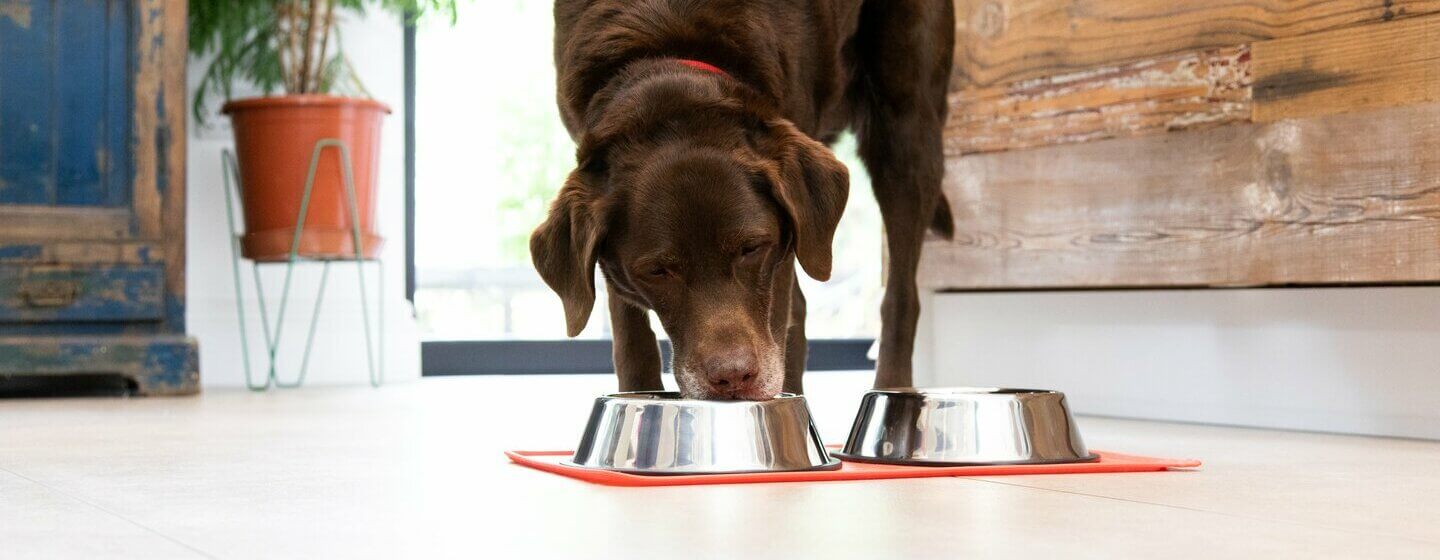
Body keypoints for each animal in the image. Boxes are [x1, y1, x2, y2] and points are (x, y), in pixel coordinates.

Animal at [535, 1, 950, 400]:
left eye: (751, 248)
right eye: (657, 271)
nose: (733, 377)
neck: (663, 61)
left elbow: (781, 322)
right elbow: (630, 335)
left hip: (905, 131)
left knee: (900, 299)